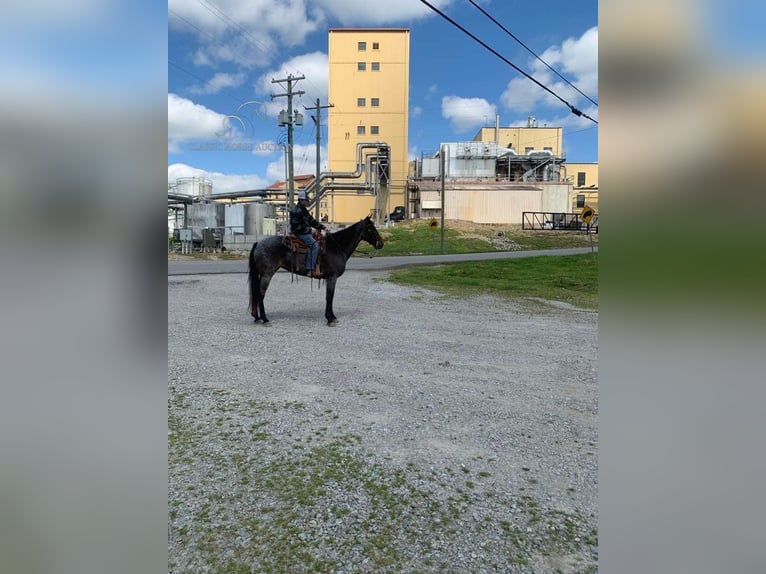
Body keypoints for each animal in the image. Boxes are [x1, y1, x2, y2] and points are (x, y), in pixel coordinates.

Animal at [250, 216, 388, 326]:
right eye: (370, 229)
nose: (381, 244)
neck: (337, 247)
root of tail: (258, 243)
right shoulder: (332, 277)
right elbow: (330, 296)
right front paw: (330, 319)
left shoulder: (330, 278)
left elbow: (330, 296)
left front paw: (332, 317)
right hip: (267, 275)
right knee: (260, 294)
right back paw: (265, 319)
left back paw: (257, 317)